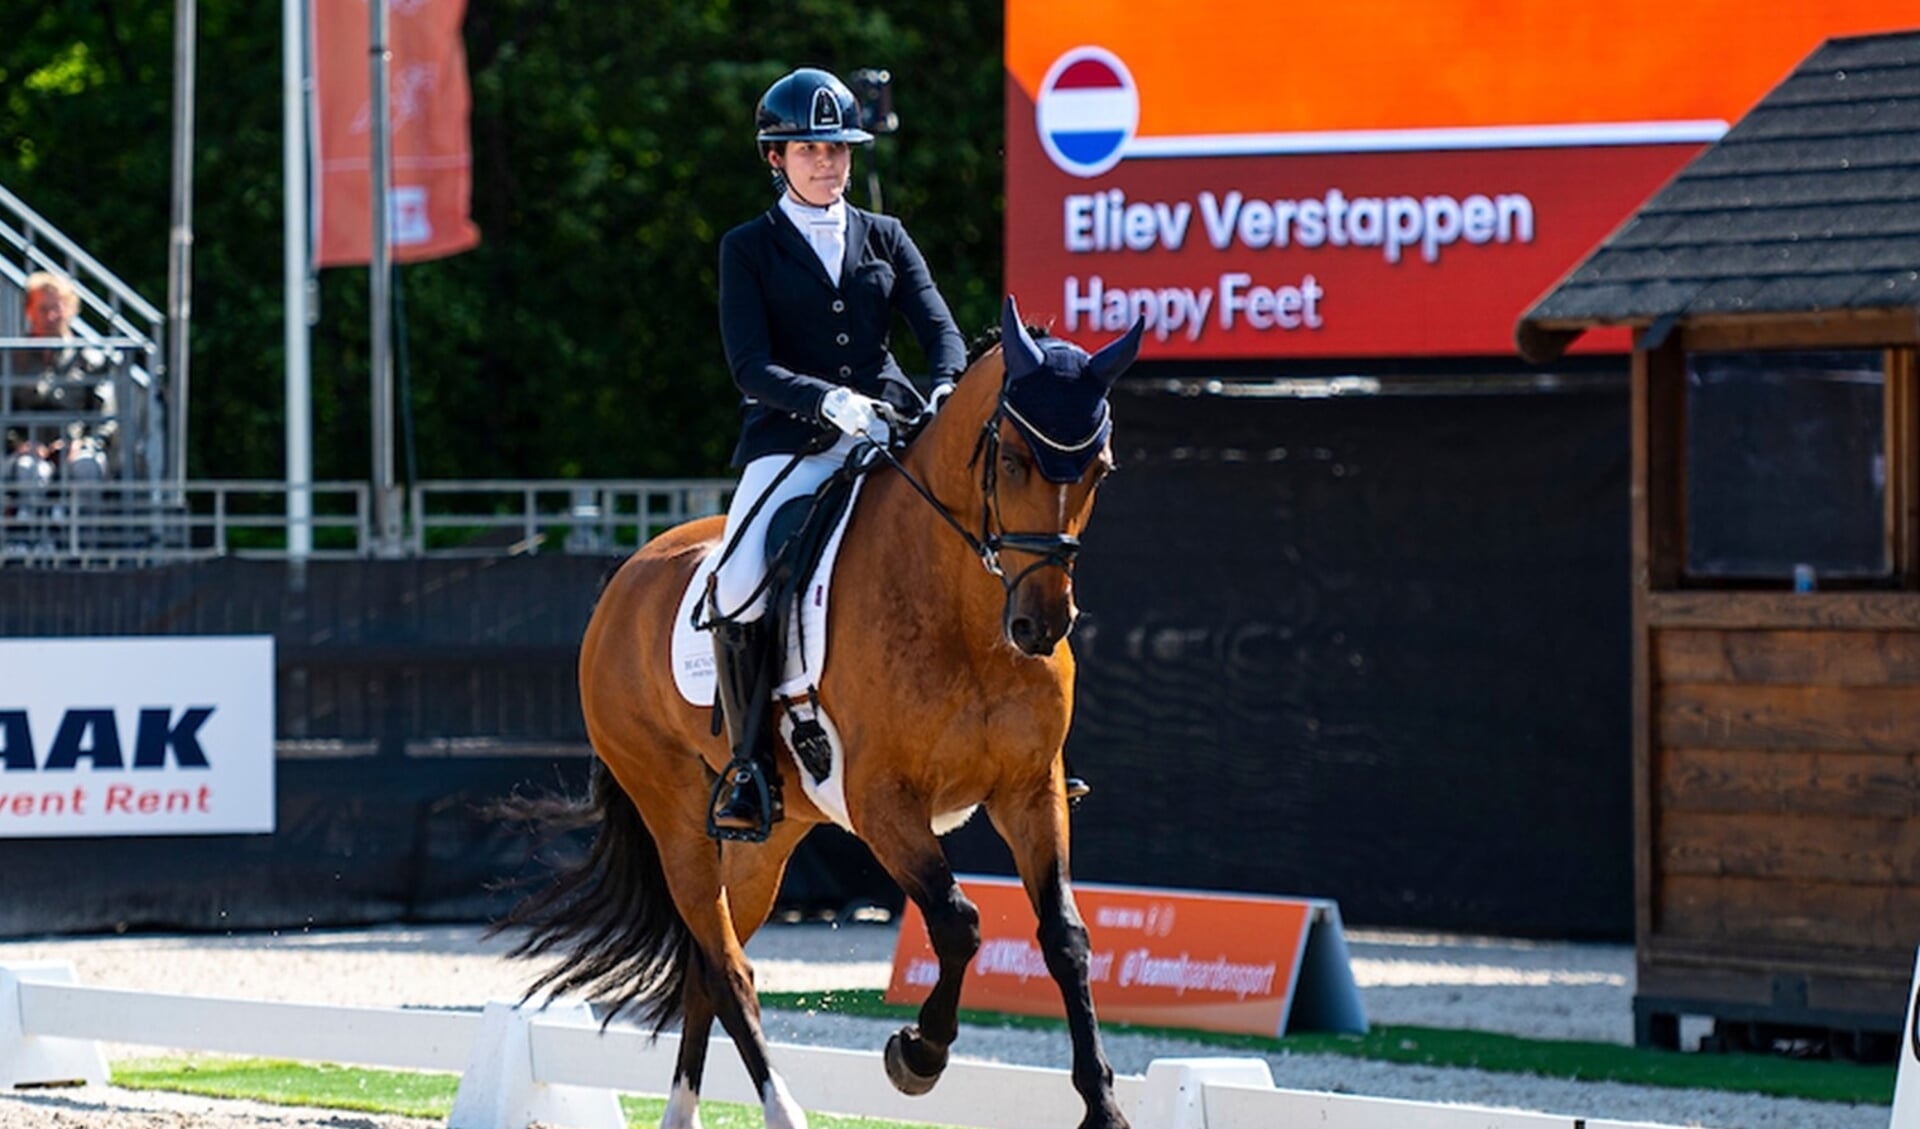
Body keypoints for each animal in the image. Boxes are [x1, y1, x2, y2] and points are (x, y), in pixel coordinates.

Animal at [503, 297, 1144, 1129]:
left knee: (709, 965)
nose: (1041, 625)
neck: (965, 614)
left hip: (767, 840)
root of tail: (622, 581)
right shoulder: (881, 801)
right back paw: (784, 1110)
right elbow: (958, 921)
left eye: (1100, 468)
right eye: (1010, 461)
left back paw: (683, 1114)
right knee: (728, 967)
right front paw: (917, 1055)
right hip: (674, 817)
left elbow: (1065, 935)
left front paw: (1103, 1105)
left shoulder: (1029, 790)